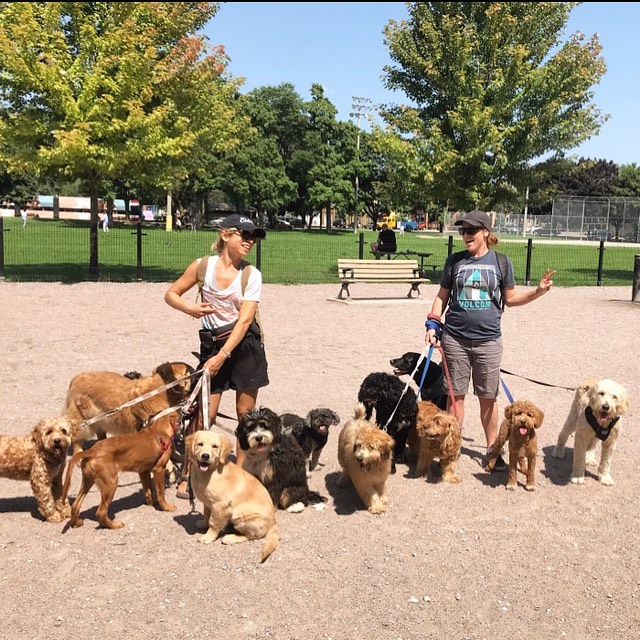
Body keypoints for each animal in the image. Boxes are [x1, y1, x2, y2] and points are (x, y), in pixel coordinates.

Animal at [184, 432, 276, 564]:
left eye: (215, 446)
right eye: (200, 444)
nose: (205, 456)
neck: (208, 473)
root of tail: (273, 523)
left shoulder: (220, 505)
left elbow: (213, 522)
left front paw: (208, 536)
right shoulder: (208, 503)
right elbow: (206, 514)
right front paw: (203, 523)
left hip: (241, 519)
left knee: (252, 536)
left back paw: (231, 538)